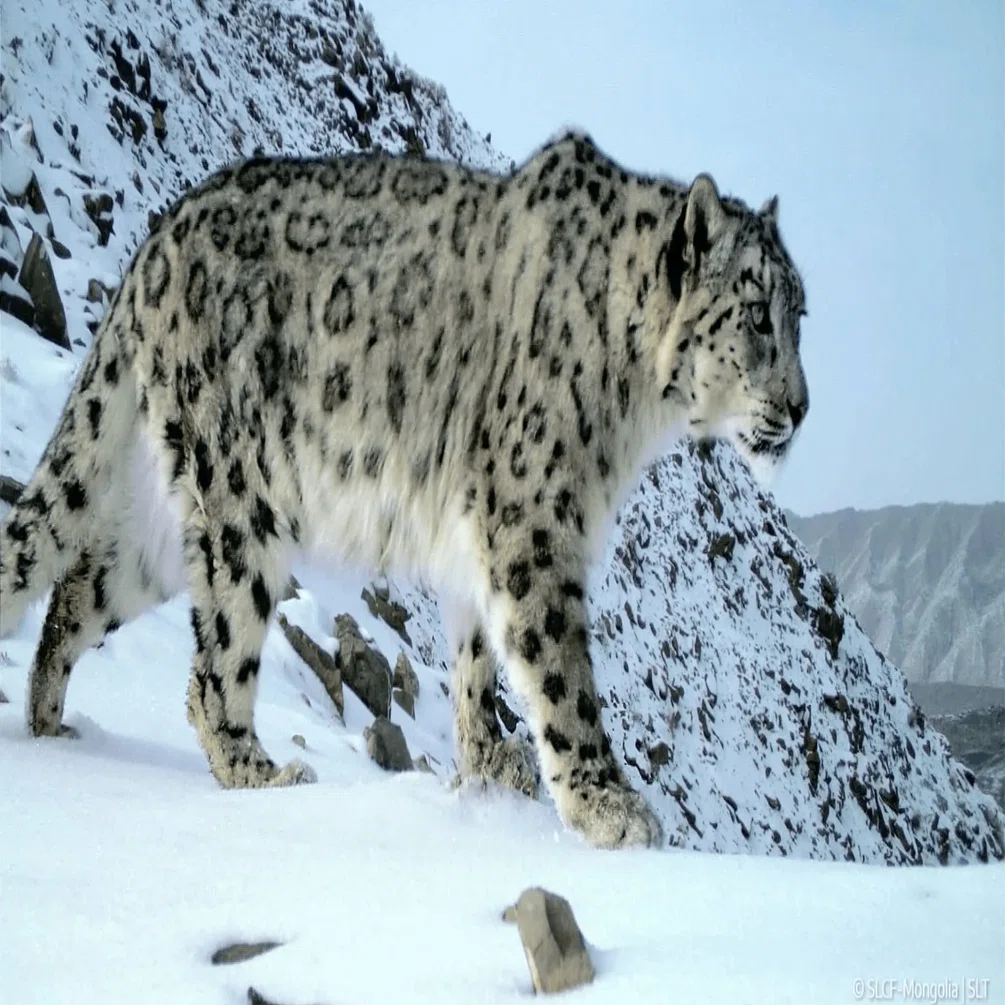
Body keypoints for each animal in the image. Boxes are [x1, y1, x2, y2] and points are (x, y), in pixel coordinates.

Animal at [0, 130, 808, 849]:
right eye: (757, 316)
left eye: (799, 316)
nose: (800, 408)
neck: (635, 410)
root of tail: (159, 233)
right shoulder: (534, 514)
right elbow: (557, 663)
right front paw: (607, 805)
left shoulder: (482, 529)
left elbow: (476, 655)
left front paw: (489, 766)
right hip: (243, 487)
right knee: (216, 658)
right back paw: (261, 772)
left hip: (170, 525)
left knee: (78, 584)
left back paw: (51, 724)